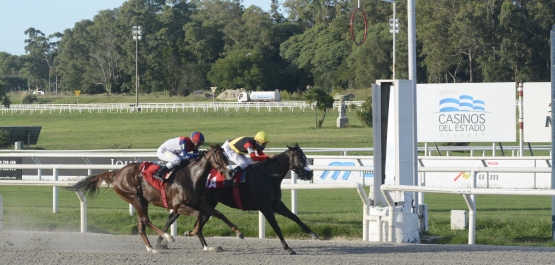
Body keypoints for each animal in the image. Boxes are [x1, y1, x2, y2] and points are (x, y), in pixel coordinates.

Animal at [66, 144, 240, 252]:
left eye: (227, 155)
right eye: (220, 157)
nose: (231, 172)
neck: (191, 177)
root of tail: (117, 173)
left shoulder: (200, 202)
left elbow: (217, 213)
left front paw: (237, 232)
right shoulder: (179, 206)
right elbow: (199, 215)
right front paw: (190, 232)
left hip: (141, 201)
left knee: (141, 224)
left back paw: (150, 248)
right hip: (135, 198)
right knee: (146, 220)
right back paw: (167, 237)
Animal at [165, 143, 318, 255]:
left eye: (305, 157)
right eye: (300, 158)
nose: (309, 174)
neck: (267, 176)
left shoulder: (276, 203)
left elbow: (294, 216)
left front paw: (313, 234)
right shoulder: (265, 206)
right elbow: (276, 226)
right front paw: (288, 248)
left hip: (206, 204)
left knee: (194, 224)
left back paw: (198, 242)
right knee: (178, 219)